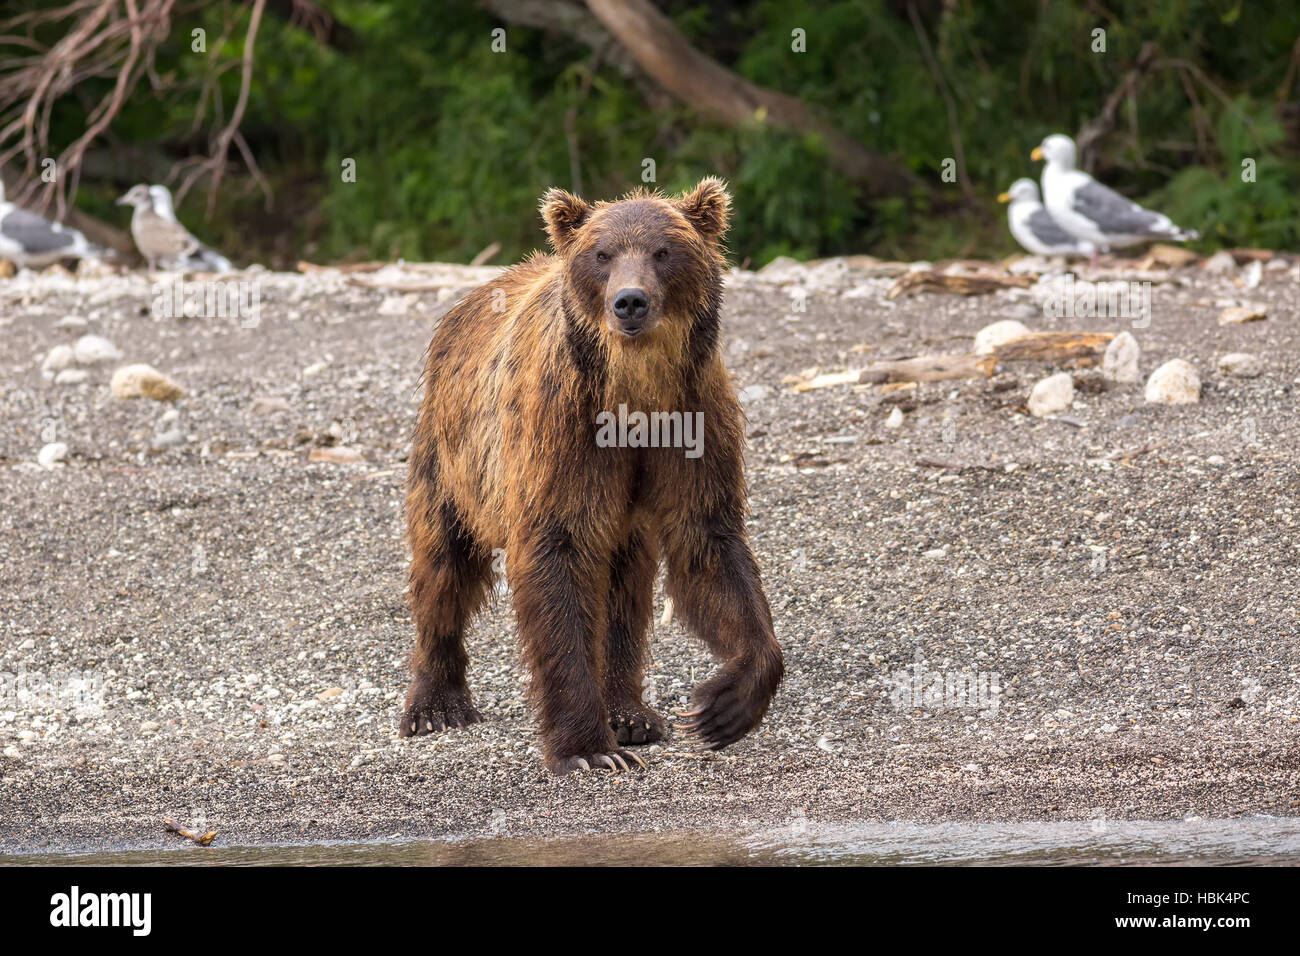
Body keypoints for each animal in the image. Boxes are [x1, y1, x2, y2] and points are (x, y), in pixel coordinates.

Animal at [397, 178, 780, 780]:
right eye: (602, 255)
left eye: (663, 251)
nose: (630, 300)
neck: (633, 393)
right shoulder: (561, 433)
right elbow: (558, 557)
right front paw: (589, 747)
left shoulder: (692, 420)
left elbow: (709, 542)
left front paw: (723, 705)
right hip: (452, 455)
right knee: (443, 562)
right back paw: (435, 704)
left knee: (625, 590)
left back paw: (630, 713)